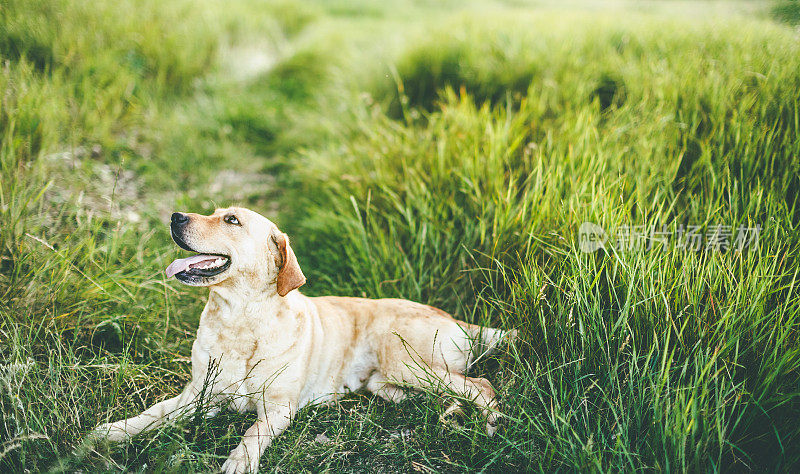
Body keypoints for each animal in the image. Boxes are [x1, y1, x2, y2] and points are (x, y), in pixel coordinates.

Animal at [90, 206, 516, 472]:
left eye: (231, 220)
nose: (175, 217)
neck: (239, 319)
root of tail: (458, 319)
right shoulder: (197, 396)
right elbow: (152, 414)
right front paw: (113, 432)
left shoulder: (278, 409)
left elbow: (251, 433)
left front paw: (239, 462)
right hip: (386, 383)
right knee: (445, 393)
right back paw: (448, 415)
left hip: (405, 360)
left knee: (481, 385)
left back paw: (490, 425)